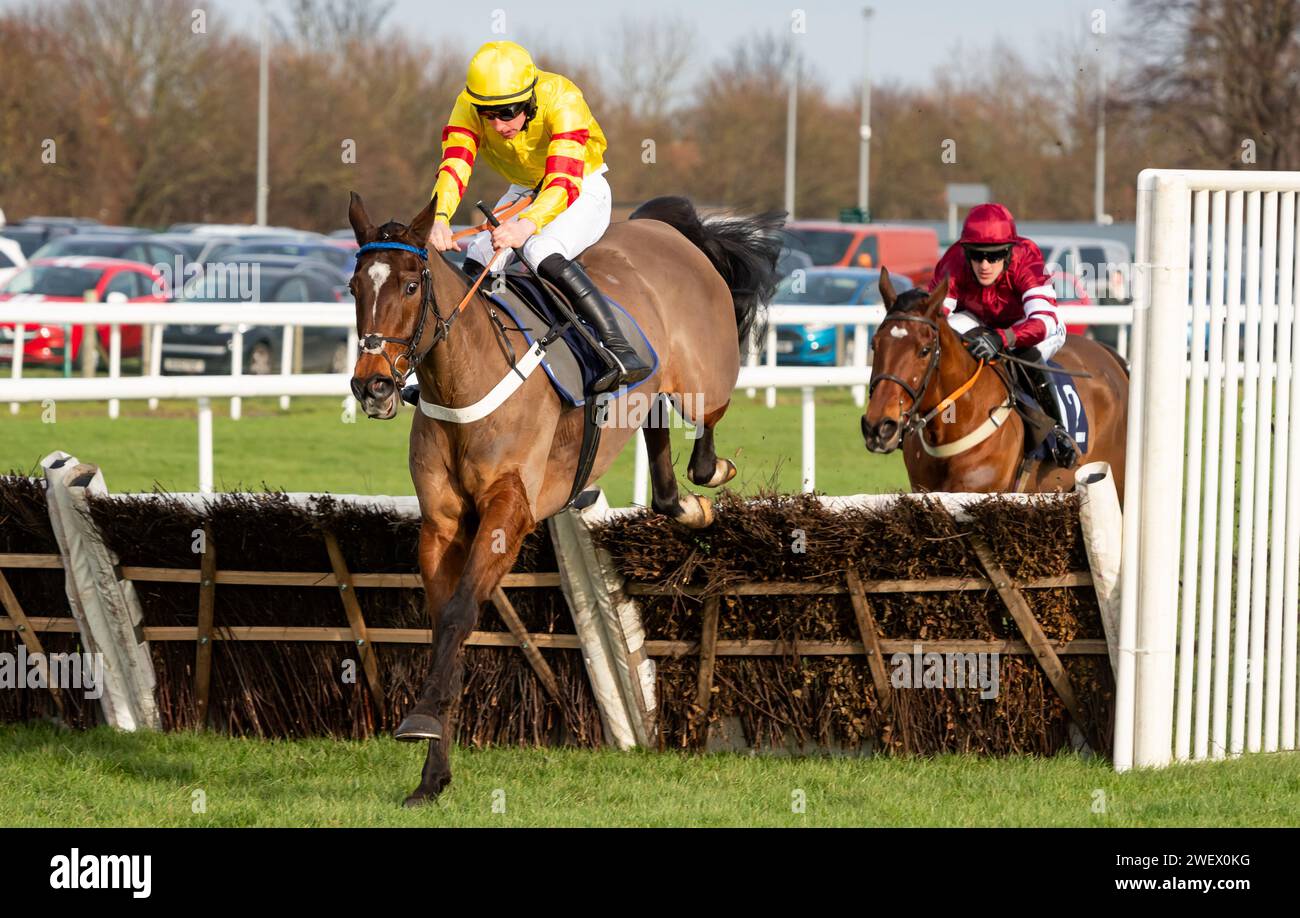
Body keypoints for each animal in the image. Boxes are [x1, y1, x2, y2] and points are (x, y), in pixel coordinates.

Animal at [345, 187, 780, 800]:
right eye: (355, 287)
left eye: (410, 285)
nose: (373, 385)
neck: (465, 380)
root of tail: (664, 229)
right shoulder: (442, 524)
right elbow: (444, 626)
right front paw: (432, 775)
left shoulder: (509, 512)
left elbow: (459, 614)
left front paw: (422, 719)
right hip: (651, 396)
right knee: (659, 449)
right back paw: (684, 505)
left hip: (706, 378)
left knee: (702, 426)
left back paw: (710, 476)